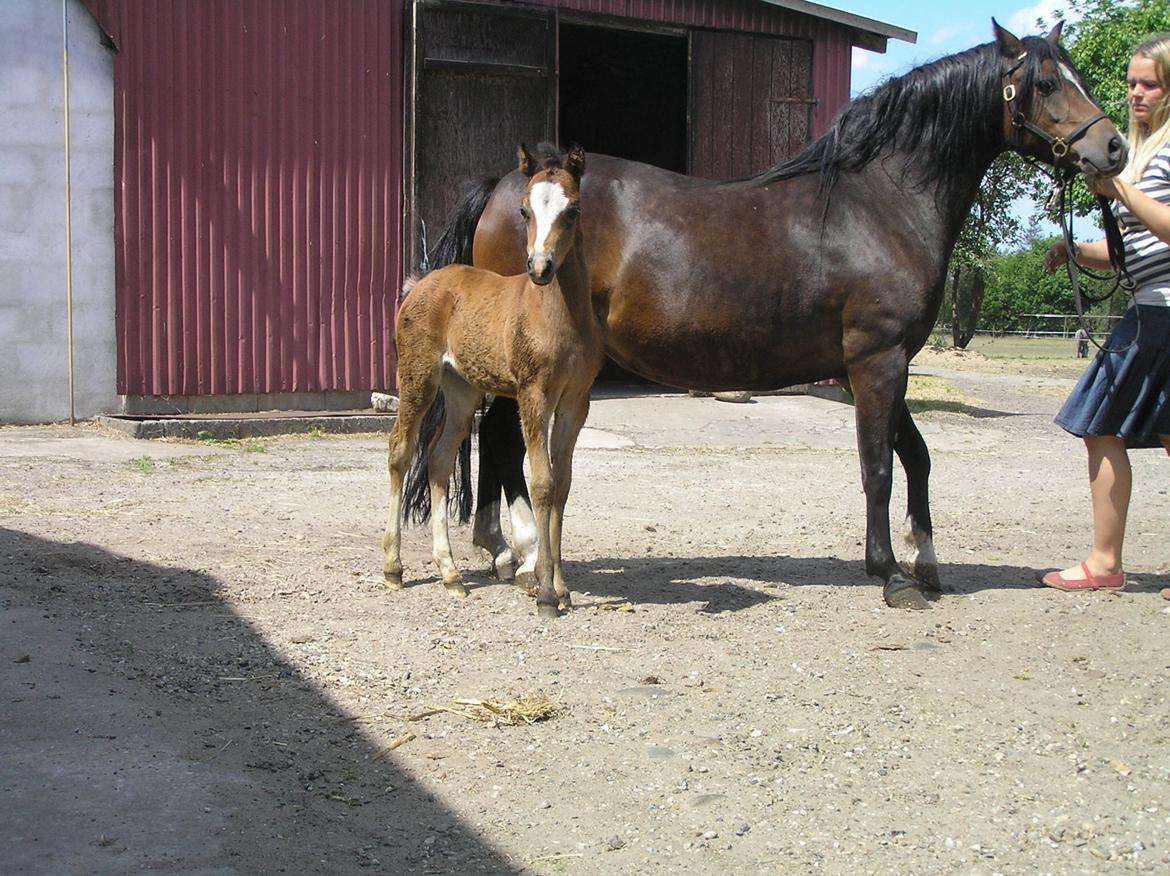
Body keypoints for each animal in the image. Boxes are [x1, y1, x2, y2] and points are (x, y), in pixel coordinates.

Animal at [384, 144, 602, 618]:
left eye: (573, 210)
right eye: (523, 209)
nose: (540, 267)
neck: (558, 316)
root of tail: (421, 282)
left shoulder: (575, 402)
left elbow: (563, 483)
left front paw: (562, 588)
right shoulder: (533, 395)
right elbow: (542, 483)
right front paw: (544, 593)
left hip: (462, 390)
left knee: (439, 458)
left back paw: (450, 574)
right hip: (418, 378)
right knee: (400, 451)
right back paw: (393, 568)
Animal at [404, 21, 1126, 610]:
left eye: (1078, 78)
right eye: (1045, 83)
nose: (1113, 149)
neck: (881, 202)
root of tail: (504, 186)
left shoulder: (875, 364)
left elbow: (916, 458)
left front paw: (926, 562)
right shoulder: (877, 360)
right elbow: (878, 466)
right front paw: (890, 573)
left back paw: (507, 552)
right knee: (503, 443)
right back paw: (525, 556)